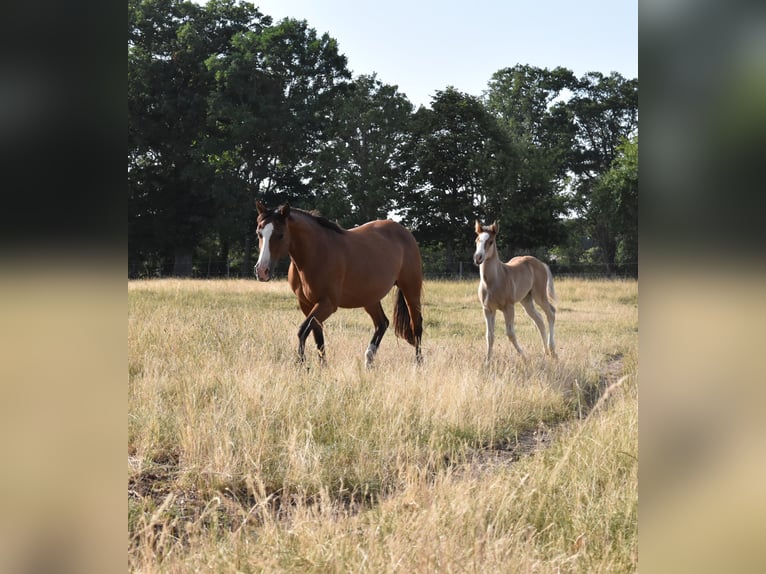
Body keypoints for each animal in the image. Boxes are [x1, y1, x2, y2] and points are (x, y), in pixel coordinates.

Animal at [254, 200, 424, 367]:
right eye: (259, 233)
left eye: (280, 235)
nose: (262, 271)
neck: (316, 253)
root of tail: (405, 233)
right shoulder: (307, 304)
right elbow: (317, 336)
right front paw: (323, 367)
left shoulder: (328, 304)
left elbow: (303, 330)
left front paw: (301, 365)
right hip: (370, 298)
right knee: (382, 323)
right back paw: (368, 360)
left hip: (411, 289)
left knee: (416, 325)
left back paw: (418, 364)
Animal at [473, 220, 557, 362]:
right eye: (477, 240)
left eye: (490, 241)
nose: (478, 257)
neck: (493, 281)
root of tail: (541, 263)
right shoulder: (488, 309)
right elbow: (489, 335)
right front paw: (487, 362)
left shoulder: (509, 307)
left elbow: (510, 333)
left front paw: (524, 357)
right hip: (526, 300)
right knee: (539, 319)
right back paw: (545, 352)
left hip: (539, 295)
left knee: (550, 313)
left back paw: (552, 351)